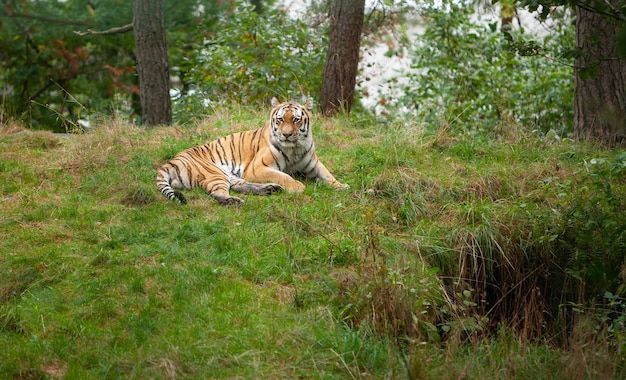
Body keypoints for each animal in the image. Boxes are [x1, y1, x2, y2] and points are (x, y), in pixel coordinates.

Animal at [156, 97, 348, 205]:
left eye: (295, 120)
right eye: (280, 120)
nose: (286, 135)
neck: (295, 147)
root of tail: (171, 161)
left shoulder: (314, 164)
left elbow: (327, 175)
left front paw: (341, 186)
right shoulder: (257, 168)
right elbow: (284, 176)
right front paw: (298, 187)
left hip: (227, 174)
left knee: (240, 185)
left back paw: (270, 189)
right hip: (214, 173)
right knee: (218, 193)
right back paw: (235, 201)